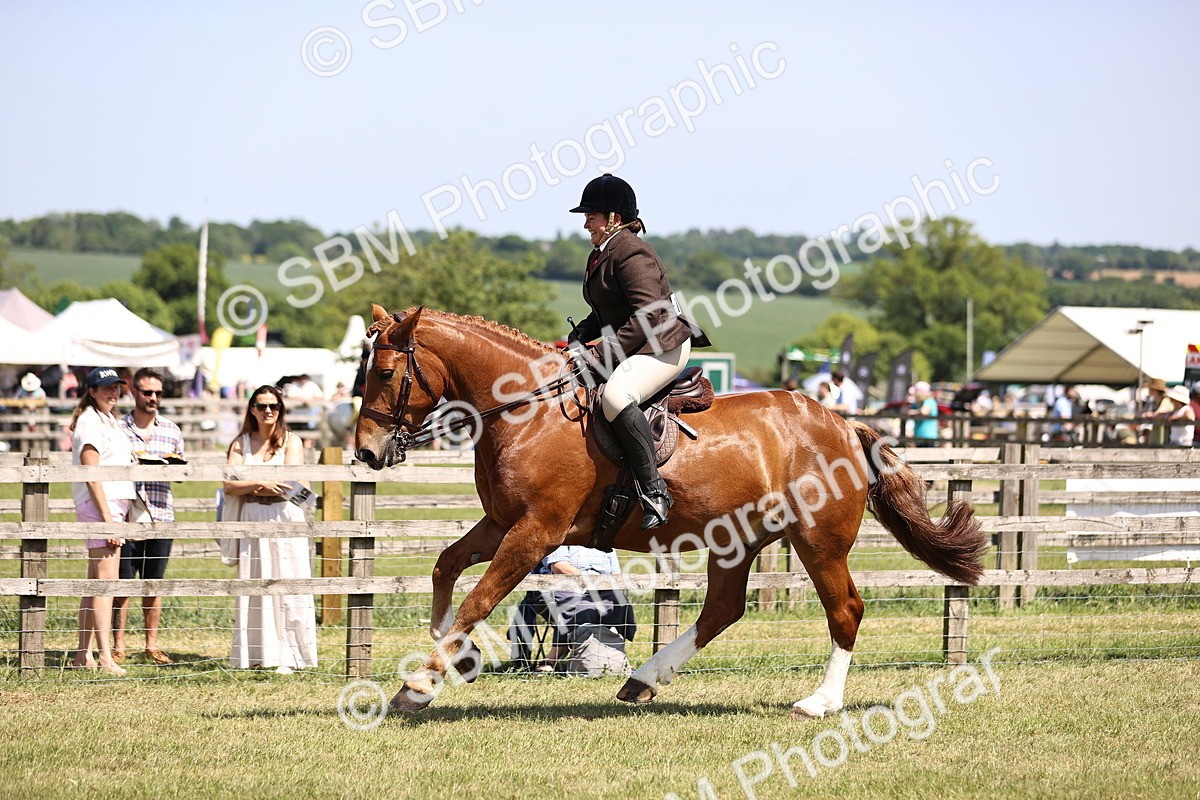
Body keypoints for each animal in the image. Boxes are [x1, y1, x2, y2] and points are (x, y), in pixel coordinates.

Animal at [354, 304, 988, 717]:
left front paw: (421, 684)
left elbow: (478, 598)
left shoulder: (536, 530)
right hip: (738, 540)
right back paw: (642, 682)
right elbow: (445, 567)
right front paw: (452, 659)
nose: (365, 452)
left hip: (818, 540)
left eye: (384, 373)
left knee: (845, 610)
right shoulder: (501, 524)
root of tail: (841, 423)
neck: (526, 409)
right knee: (723, 610)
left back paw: (820, 703)